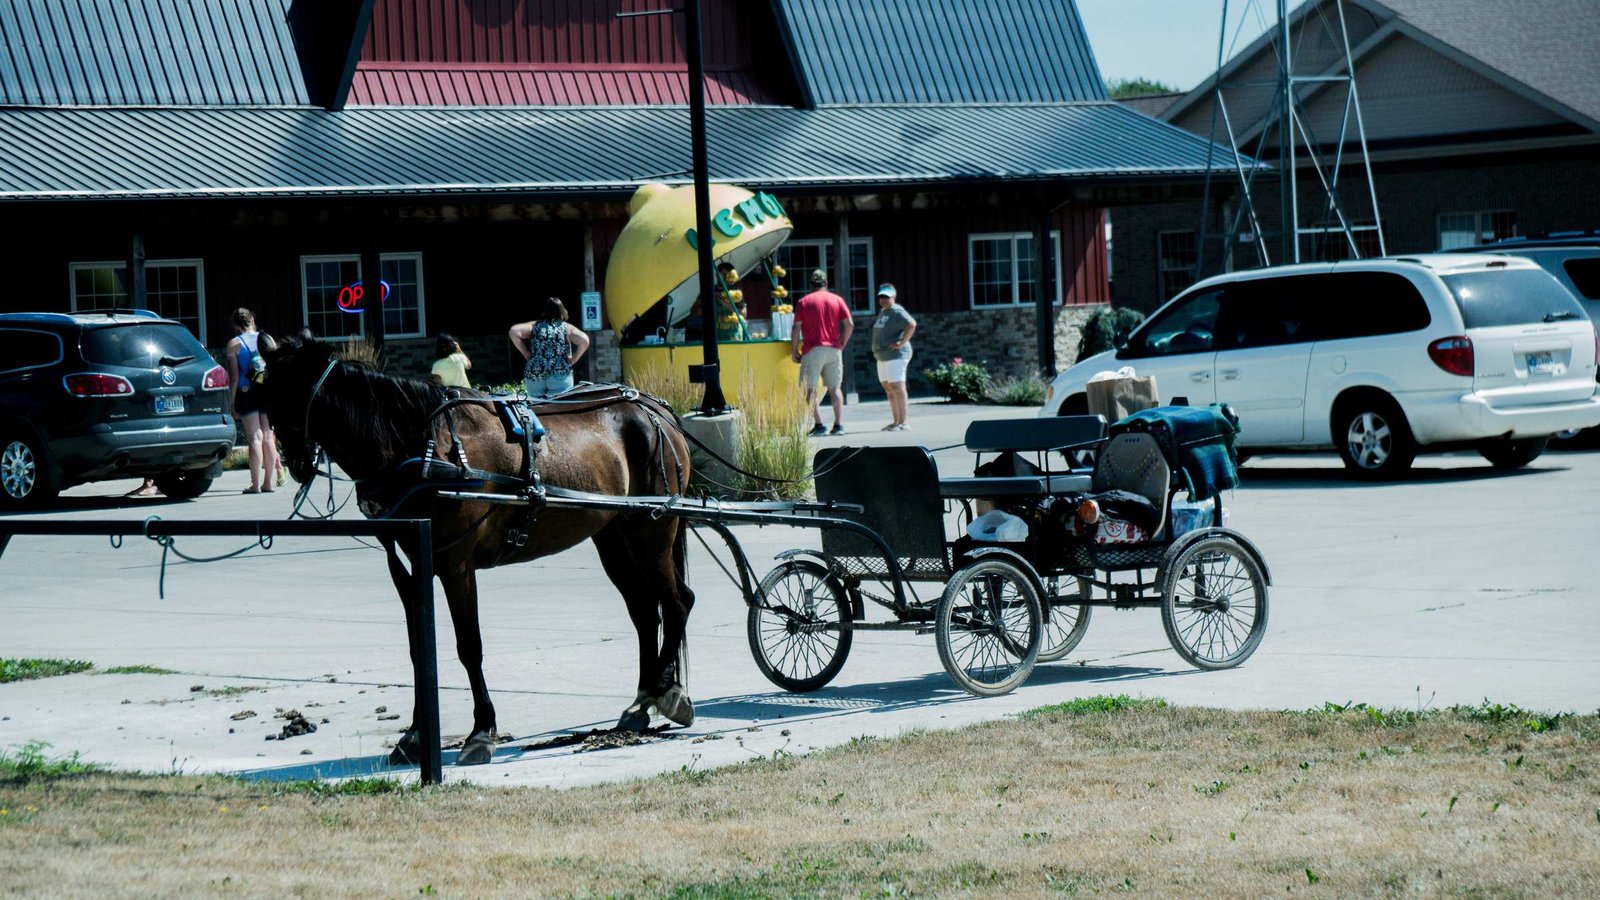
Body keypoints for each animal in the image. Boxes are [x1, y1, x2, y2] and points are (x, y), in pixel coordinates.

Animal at [262, 336, 694, 762]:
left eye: (292, 394)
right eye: (266, 393)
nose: (293, 462)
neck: (424, 448)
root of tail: (656, 410)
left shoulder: (456, 563)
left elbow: (469, 646)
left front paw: (481, 731)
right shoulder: (406, 567)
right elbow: (419, 648)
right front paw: (415, 736)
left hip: (652, 531)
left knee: (677, 601)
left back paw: (666, 689)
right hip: (613, 535)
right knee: (645, 611)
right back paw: (642, 699)